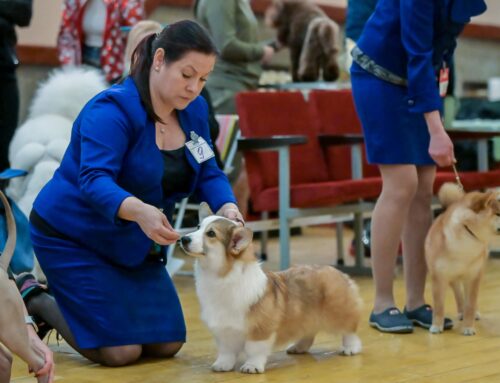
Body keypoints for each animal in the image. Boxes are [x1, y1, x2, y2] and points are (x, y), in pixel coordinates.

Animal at [180, 204, 364, 376]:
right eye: (198, 226)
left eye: (211, 234)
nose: (183, 238)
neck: (221, 277)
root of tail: (339, 273)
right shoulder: (224, 331)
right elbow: (226, 351)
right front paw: (222, 365)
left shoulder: (260, 329)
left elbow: (254, 350)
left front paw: (252, 366)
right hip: (307, 317)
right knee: (309, 333)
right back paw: (298, 347)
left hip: (338, 312)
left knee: (349, 330)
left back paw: (350, 348)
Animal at [426, 183, 500, 336]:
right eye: (498, 214)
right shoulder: (438, 277)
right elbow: (439, 305)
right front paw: (437, 325)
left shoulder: (473, 276)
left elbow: (470, 304)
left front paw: (468, 326)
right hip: (452, 277)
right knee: (458, 293)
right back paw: (461, 311)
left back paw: (471, 313)